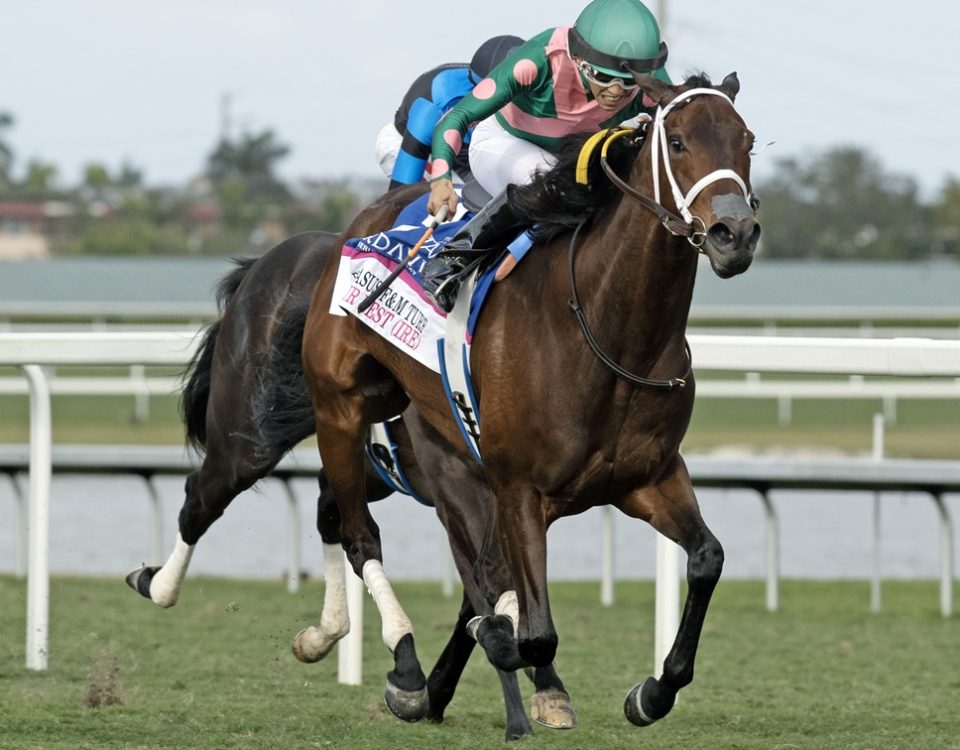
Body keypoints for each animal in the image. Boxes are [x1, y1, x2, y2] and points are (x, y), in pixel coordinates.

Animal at [127, 234, 576, 740]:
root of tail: (266, 260)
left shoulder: (516, 498)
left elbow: (493, 593)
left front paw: (515, 685)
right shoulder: (457, 490)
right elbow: (488, 585)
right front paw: (515, 706)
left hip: (366, 466)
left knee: (329, 511)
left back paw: (327, 633)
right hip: (247, 438)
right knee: (201, 498)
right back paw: (157, 584)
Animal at [302, 72, 764, 728]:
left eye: (746, 141)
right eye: (676, 141)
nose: (734, 235)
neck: (608, 328)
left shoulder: (646, 477)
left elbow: (707, 558)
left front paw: (652, 691)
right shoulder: (521, 489)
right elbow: (530, 630)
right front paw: (527, 675)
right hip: (341, 414)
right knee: (357, 532)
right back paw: (397, 665)